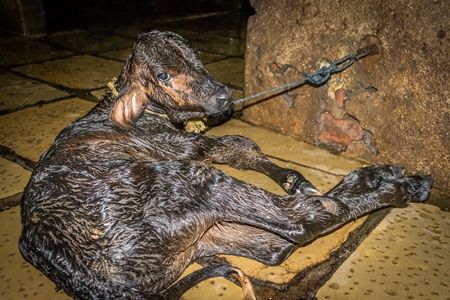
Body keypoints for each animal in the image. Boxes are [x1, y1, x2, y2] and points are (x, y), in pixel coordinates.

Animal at [18, 31, 432, 300]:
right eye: (163, 75)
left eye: (197, 58)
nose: (223, 96)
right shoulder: (184, 147)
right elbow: (236, 145)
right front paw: (293, 177)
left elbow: (242, 147)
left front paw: (292, 177)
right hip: (188, 184)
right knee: (305, 219)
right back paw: (398, 186)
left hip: (203, 234)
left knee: (277, 244)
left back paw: (383, 178)